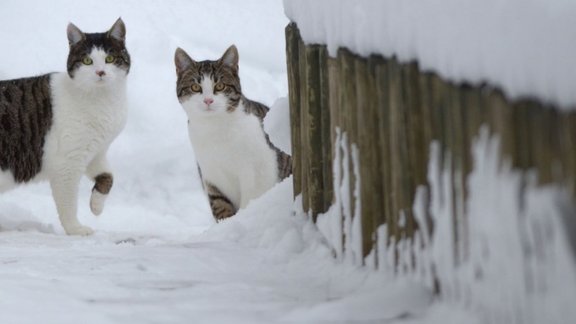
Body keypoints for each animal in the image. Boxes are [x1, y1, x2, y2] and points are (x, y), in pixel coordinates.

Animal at [0, 18, 130, 235]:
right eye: (87, 61)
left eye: (110, 58)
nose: (100, 72)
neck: (102, 101)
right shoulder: (68, 162)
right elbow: (68, 202)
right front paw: (75, 228)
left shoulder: (95, 152)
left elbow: (108, 176)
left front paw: (96, 205)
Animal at [174, 45, 292, 221]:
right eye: (195, 87)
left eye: (220, 86)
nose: (208, 100)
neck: (215, 129)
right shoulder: (211, 176)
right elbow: (220, 206)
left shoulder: (259, 173)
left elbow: (250, 202)